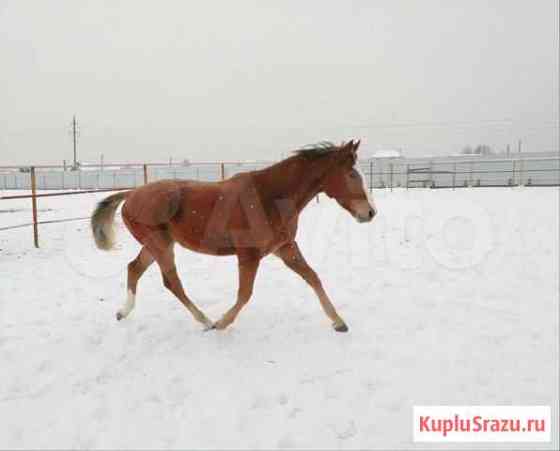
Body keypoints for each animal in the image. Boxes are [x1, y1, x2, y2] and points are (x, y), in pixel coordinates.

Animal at [91, 139, 376, 334]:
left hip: (156, 245)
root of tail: (131, 194)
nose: (370, 213)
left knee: (134, 268)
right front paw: (222, 323)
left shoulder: (285, 247)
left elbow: (313, 277)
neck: (269, 196)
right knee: (171, 282)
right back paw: (206, 321)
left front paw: (338, 322)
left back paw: (123, 312)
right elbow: (245, 294)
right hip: (160, 245)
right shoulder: (249, 255)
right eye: (352, 174)